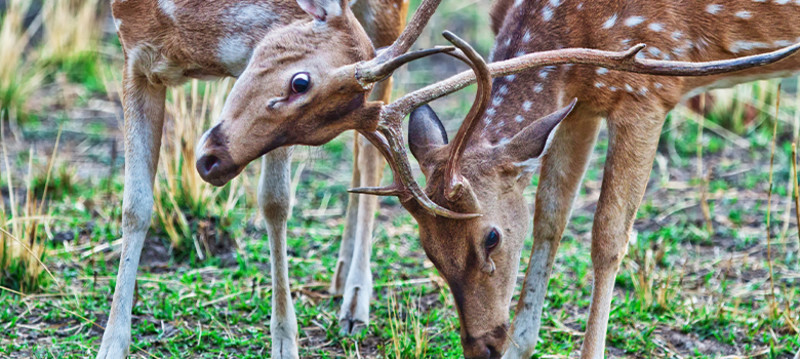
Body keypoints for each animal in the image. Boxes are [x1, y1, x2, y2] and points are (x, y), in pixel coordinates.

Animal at [192, 0, 800, 358]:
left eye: (489, 236)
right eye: (427, 250)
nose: (481, 345)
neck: (583, 26)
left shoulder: (649, 87)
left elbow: (607, 236)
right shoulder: (582, 97)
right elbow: (551, 215)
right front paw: (522, 344)